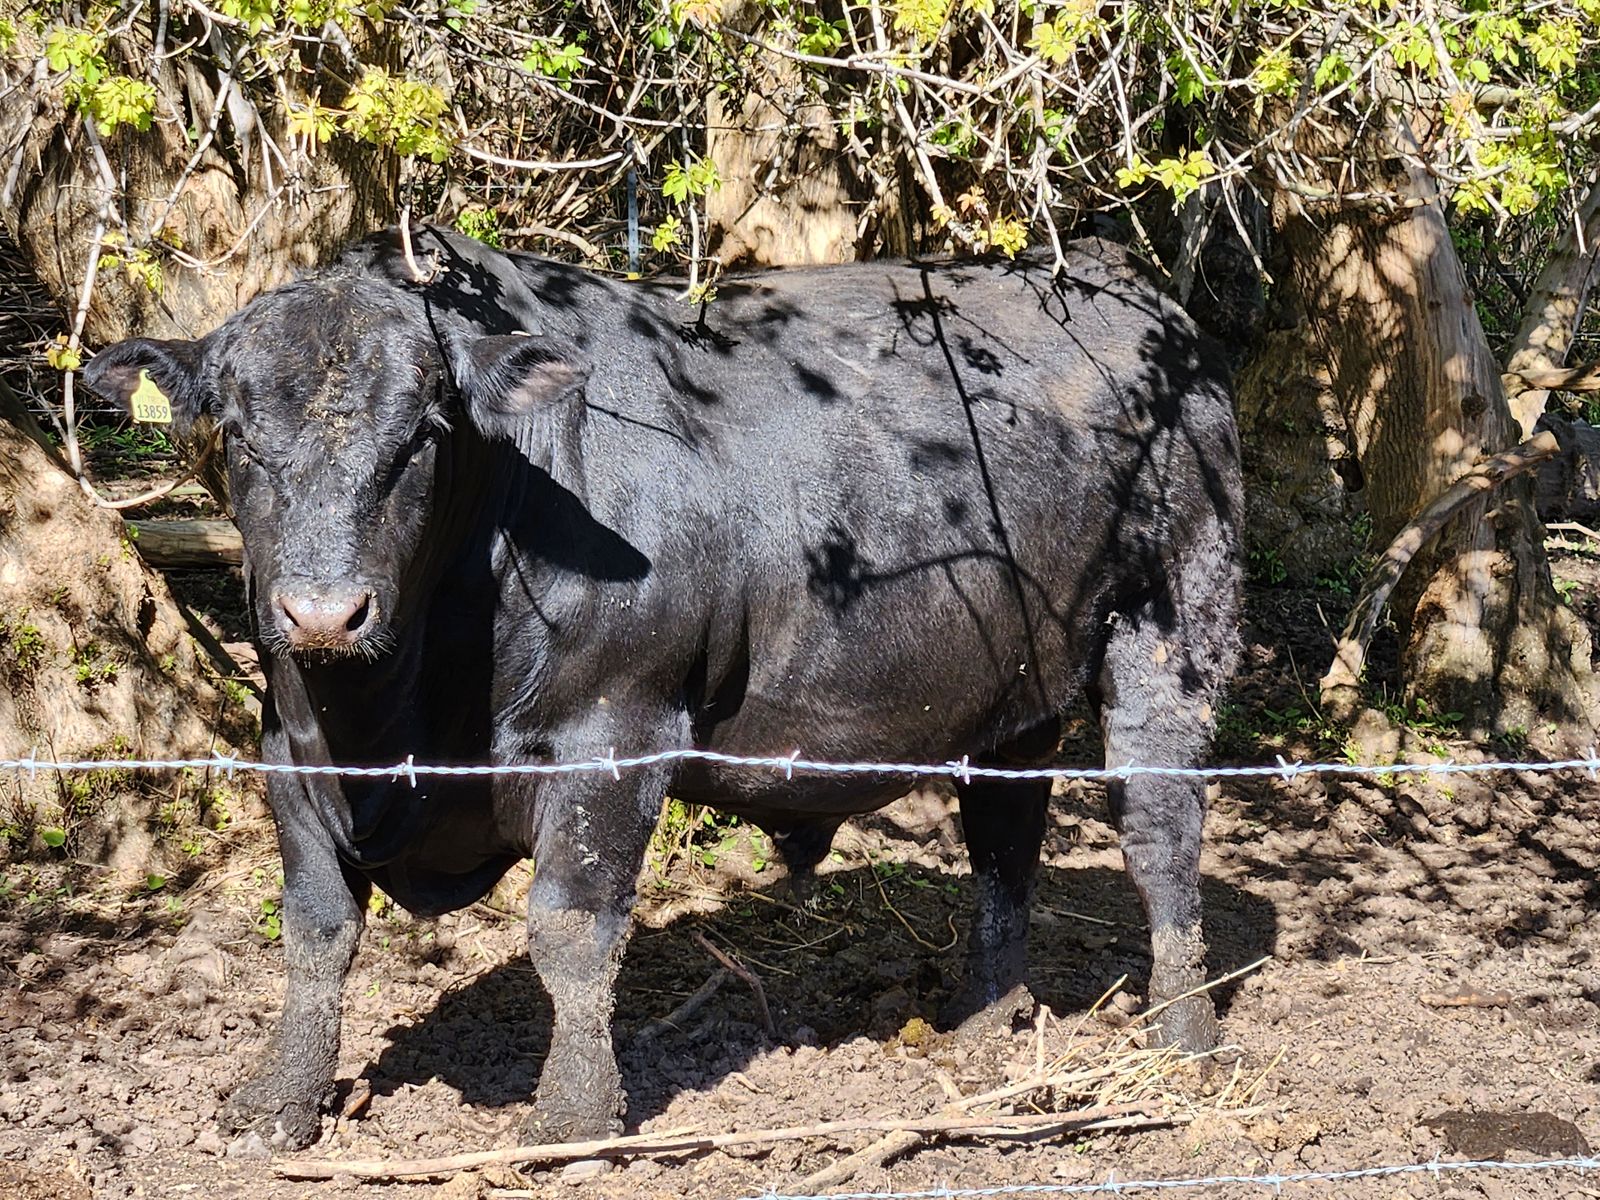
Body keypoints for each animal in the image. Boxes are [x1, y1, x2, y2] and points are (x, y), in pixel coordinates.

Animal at [85, 226, 1242, 1149]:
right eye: (238, 437)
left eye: (422, 435)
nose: (325, 614)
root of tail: (1122, 285)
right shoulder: (288, 746)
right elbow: (316, 929)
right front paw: (276, 1100)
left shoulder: (613, 731)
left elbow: (569, 930)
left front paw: (570, 1118)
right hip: (1013, 691)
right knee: (1005, 841)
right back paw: (986, 1024)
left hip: (1171, 631)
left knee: (1159, 831)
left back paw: (1182, 1037)